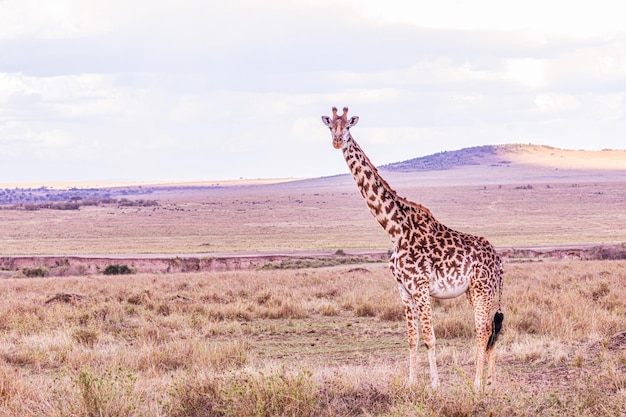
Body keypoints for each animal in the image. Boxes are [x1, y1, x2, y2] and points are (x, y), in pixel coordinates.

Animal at [322, 106, 502, 386]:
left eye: (348, 127)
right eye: (330, 126)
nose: (338, 141)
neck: (395, 230)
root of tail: (499, 260)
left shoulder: (421, 288)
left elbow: (429, 337)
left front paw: (435, 385)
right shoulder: (404, 290)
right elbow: (412, 339)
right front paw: (411, 383)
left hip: (483, 289)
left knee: (483, 330)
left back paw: (476, 384)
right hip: (475, 291)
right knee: (491, 329)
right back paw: (491, 383)